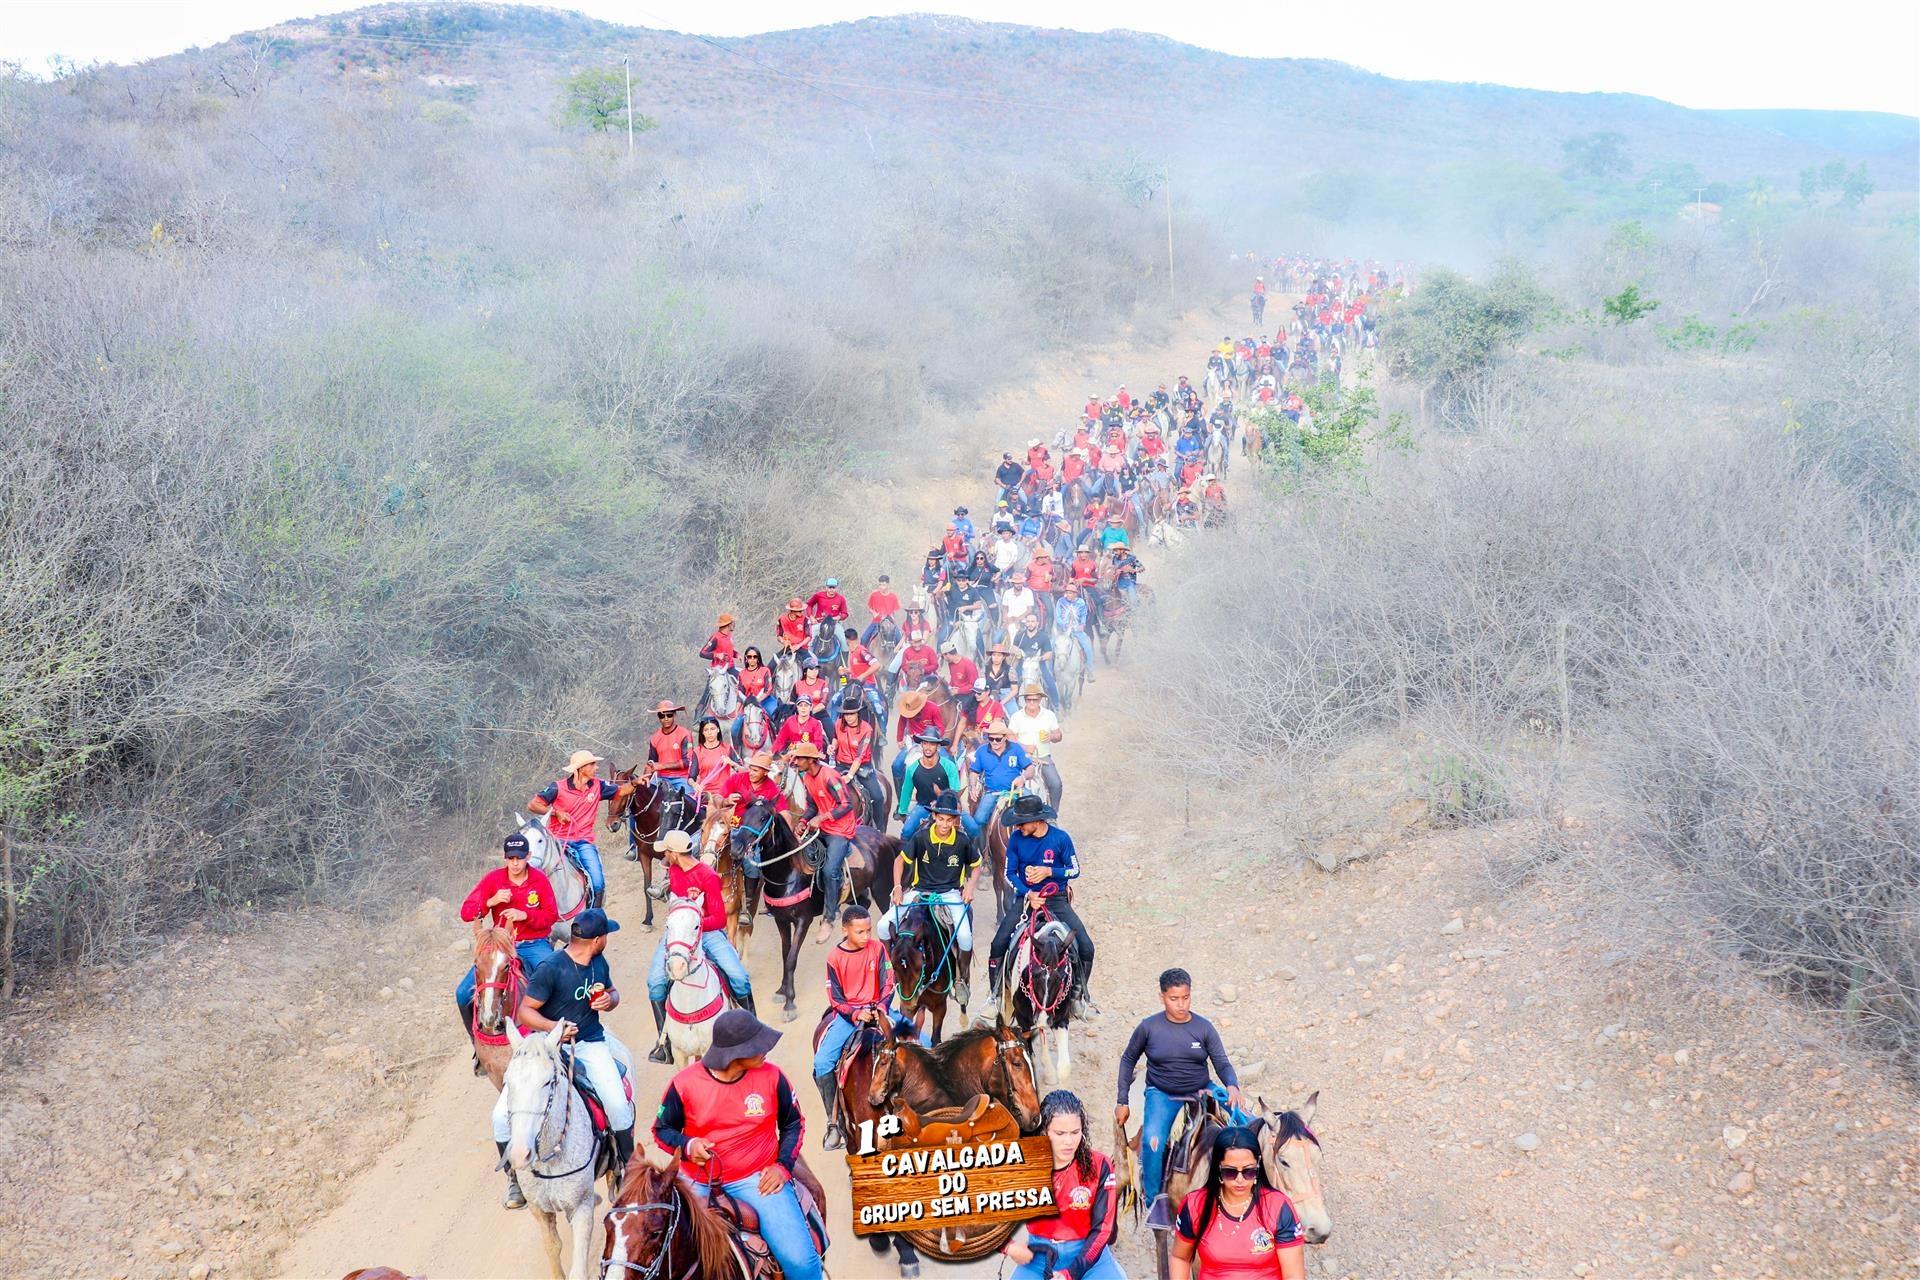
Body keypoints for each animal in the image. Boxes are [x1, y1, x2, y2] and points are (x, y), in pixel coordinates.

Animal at [500, 1022, 629, 1280]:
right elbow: (552, 1247)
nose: (519, 1154)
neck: (549, 1161)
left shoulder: (580, 1209)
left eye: (548, 1082)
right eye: (508, 1082)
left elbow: (578, 1271)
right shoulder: (539, 1210)